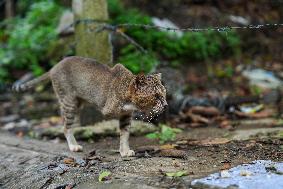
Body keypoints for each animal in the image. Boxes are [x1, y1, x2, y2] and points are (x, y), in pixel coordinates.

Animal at [13, 56, 168, 157]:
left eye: (164, 94)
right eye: (156, 96)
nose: (166, 105)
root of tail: (54, 67)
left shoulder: (125, 116)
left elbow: (125, 134)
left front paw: (124, 151)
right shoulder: (109, 110)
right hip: (69, 103)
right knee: (65, 126)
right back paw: (73, 146)